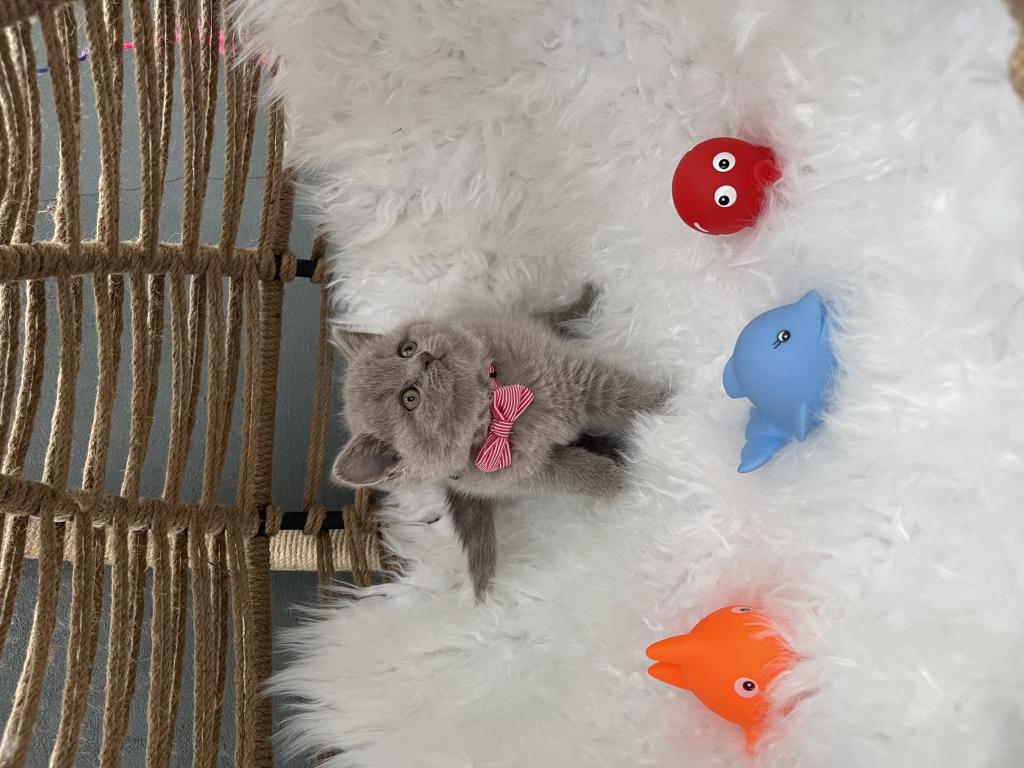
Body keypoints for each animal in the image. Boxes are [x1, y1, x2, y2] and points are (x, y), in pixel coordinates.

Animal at [330, 284, 669, 597]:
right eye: (409, 399)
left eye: (406, 348)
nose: (425, 358)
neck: (498, 408)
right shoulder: (523, 473)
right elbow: (571, 474)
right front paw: (615, 480)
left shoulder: (578, 377)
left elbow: (623, 393)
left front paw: (671, 407)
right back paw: (613, 451)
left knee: (548, 320)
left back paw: (582, 304)